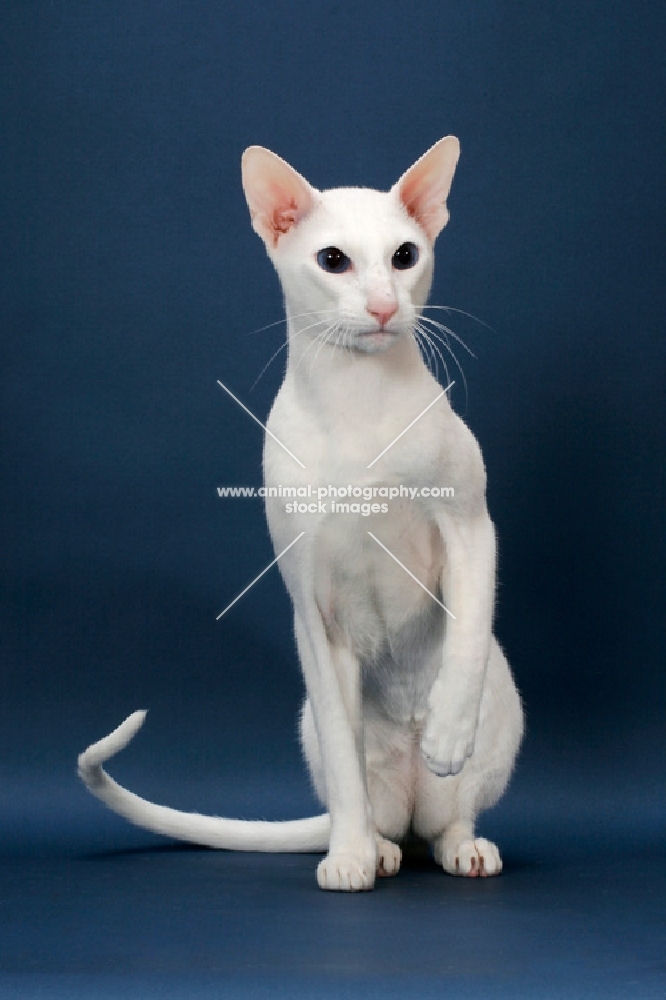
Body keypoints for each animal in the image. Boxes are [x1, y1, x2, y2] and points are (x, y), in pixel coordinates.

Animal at [78, 139, 520, 892]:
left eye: (406, 255)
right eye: (333, 260)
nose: (383, 306)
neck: (358, 400)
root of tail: (410, 806)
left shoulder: (470, 524)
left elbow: (463, 642)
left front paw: (447, 733)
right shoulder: (310, 601)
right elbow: (344, 766)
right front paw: (348, 860)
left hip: (504, 707)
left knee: (449, 817)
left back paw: (461, 840)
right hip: (312, 717)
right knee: (371, 805)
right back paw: (373, 847)